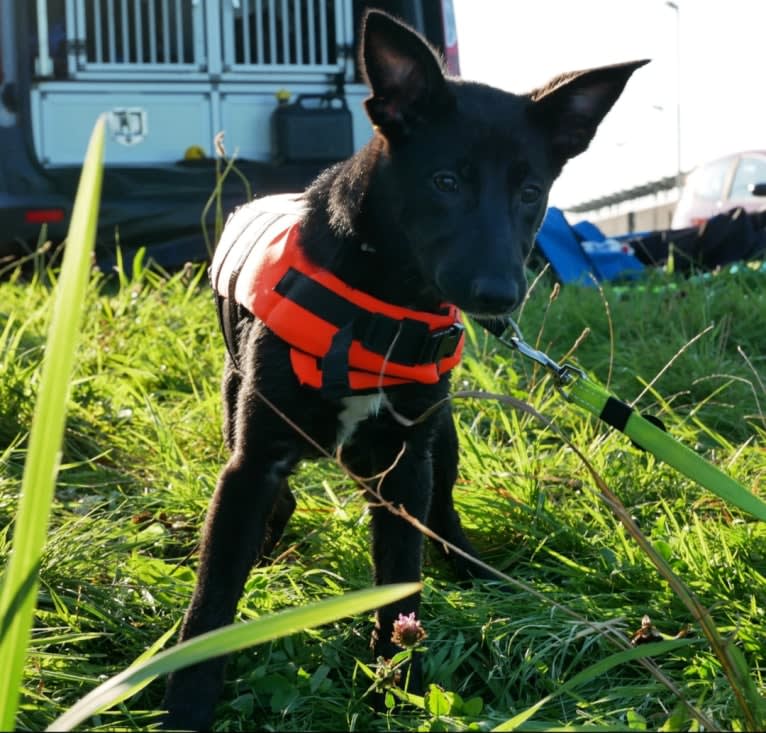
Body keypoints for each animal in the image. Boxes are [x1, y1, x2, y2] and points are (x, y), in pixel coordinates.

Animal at [164, 10, 648, 728]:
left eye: (531, 191)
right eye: (446, 181)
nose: (501, 294)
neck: (385, 301)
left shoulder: (403, 465)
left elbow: (400, 584)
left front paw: (399, 687)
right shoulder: (253, 464)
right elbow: (214, 597)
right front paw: (185, 704)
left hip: (438, 440)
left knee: (440, 512)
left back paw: (475, 569)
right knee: (281, 500)